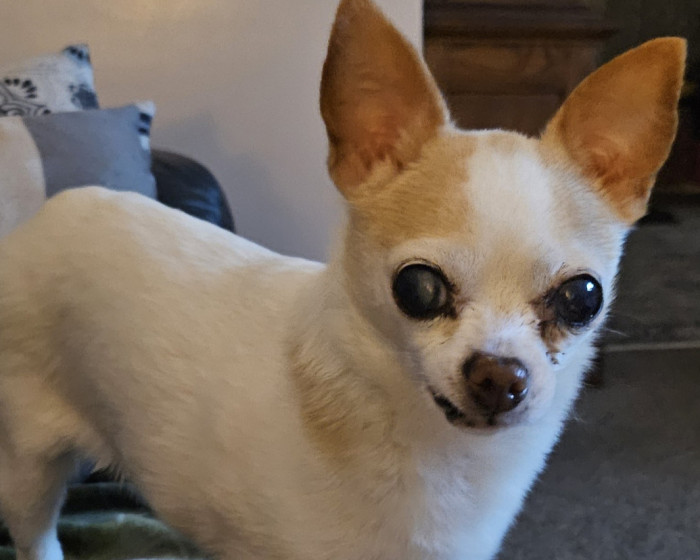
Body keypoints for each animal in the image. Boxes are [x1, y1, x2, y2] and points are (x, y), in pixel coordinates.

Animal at [0, 1, 685, 559]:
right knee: (37, 535)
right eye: (418, 288)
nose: (500, 376)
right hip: (28, 468)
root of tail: (48, 213)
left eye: (582, 297)